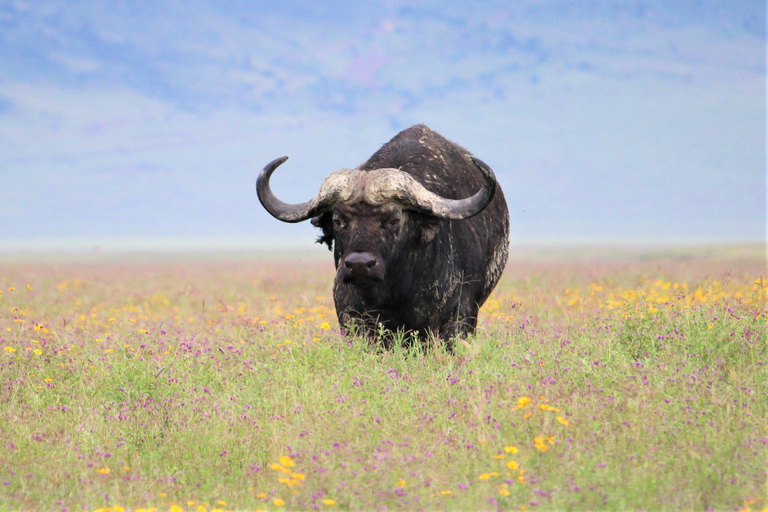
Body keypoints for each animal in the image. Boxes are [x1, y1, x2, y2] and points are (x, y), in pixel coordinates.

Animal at [256, 124, 510, 348]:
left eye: (392, 220)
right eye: (338, 221)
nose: (359, 264)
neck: (397, 288)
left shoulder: (457, 317)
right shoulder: (351, 313)